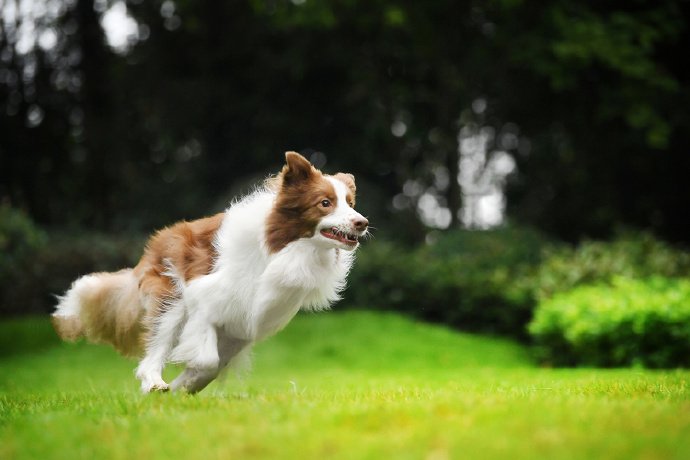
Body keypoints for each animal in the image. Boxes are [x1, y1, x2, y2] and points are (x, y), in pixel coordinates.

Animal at [51, 153, 368, 394]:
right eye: (325, 203)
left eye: (350, 203)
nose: (362, 222)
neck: (284, 251)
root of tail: (157, 240)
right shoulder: (203, 299)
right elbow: (206, 359)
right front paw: (177, 383)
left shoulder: (242, 327)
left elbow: (214, 366)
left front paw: (182, 388)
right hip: (172, 300)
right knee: (152, 354)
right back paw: (154, 384)